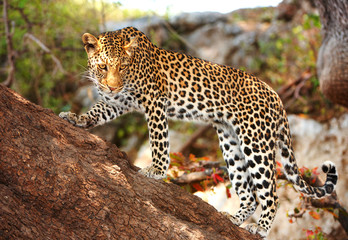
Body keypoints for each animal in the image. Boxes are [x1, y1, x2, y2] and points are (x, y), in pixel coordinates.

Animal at [59, 26, 338, 238]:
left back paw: (260, 227)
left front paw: (156, 170)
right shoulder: (119, 102)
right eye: (103, 67)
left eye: (123, 67)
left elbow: (158, 139)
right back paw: (234, 218)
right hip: (230, 142)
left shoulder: (154, 101)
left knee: (270, 193)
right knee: (249, 194)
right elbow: (97, 110)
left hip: (255, 142)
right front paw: (77, 118)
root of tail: (276, 96)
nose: (112, 87)